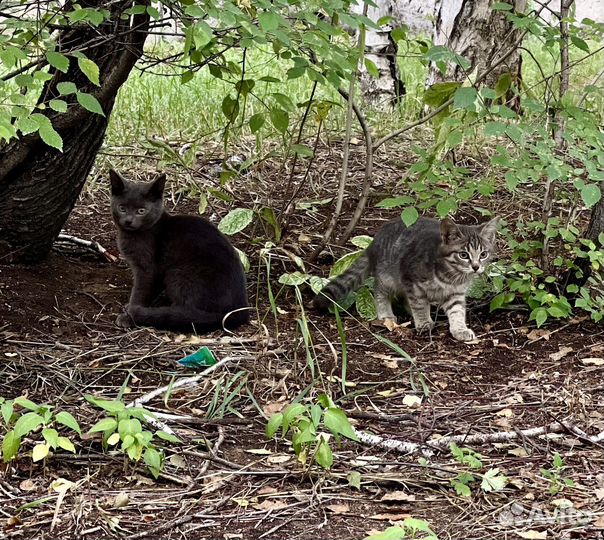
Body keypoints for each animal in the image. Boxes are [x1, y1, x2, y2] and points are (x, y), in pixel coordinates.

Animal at [109, 169, 249, 332]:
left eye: (141, 211)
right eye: (122, 208)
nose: (128, 221)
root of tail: (237, 312)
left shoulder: (148, 268)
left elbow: (140, 291)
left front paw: (129, 314)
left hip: (177, 273)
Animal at [314, 216, 498, 340]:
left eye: (483, 254)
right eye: (463, 255)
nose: (476, 266)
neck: (452, 275)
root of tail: (374, 242)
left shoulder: (456, 294)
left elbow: (457, 311)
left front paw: (459, 329)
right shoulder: (412, 280)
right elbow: (419, 304)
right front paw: (423, 322)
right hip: (388, 276)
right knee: (380, 291)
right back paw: (386, 314)